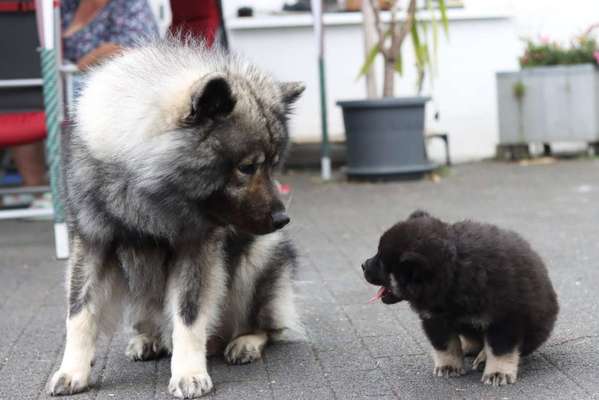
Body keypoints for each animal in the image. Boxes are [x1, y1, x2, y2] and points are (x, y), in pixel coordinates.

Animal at [364, 211, 560, 386]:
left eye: (381, 262)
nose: (363, 265)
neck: (454, 274)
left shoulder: (505, 318)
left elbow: (500, 349)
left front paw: (497, 372)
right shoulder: (435, 319)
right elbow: (445, 345)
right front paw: (449, 366)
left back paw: (483, 357)